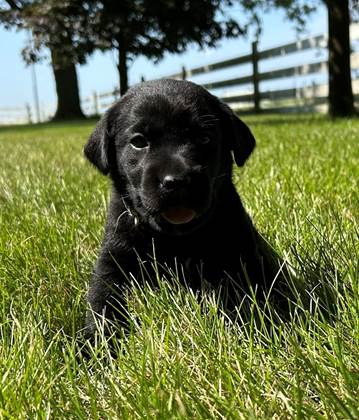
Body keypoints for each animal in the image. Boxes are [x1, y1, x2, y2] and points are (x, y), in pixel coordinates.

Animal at [85, 78, 284, 334]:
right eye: (138, 142)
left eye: (204, 138)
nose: (176, 181)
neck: (176, 239)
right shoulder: (113, 260)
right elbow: (102, 301)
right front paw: (98, 340)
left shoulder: (243, 255)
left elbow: (247, 295)